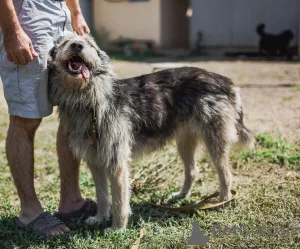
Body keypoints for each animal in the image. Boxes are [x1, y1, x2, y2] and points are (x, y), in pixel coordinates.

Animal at [48, 34, 254, 231]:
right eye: (65, 42)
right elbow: (102, 195)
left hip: (215, 141)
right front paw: (100, 218)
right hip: (185, 142)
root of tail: (223, 80)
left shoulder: (116, 162)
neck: (90, 101)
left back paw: (223, 201)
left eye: (89, 43)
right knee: (193, 170)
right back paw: (181, 196)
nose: (77, 45)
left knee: (225, 173)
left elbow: (119, 199)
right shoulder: (95, 161)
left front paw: (118, 228)